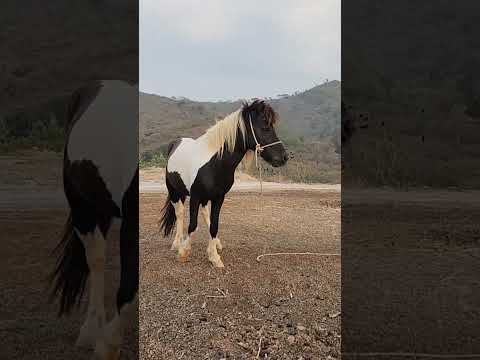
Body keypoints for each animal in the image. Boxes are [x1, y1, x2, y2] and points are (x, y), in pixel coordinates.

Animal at [161, 100, 288, 268]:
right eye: (265, 126)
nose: (284, 157)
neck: (215, 163)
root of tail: (175, 143)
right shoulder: (195, 196)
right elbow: (193, 225)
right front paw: (184, 251)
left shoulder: (218, 197)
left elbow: (214, 225)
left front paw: (214, 256)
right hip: (175, 191)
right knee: (180, 214)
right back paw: (177, 244)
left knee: (204, 214)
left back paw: (216, 244)